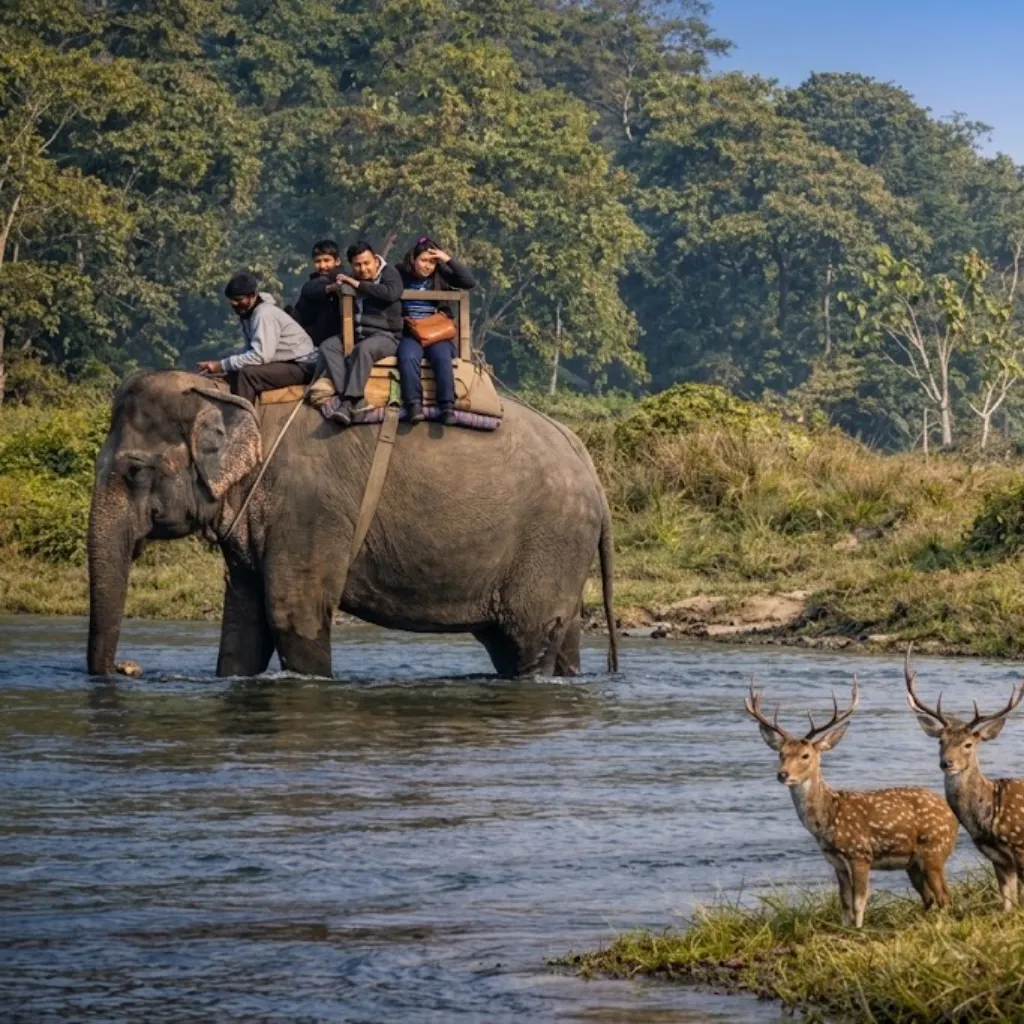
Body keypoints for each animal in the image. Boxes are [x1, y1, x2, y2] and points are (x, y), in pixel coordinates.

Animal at [87, 370, 619, 679]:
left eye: (135, 471)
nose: (128, 667)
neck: (233, 399)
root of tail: (588, 464)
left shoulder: (307, 506)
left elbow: (291, 610)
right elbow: (243, 622)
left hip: (550, 542)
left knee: (527, 638)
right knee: (556, 637)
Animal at [746, 676, 958, 928]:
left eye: (805, 755)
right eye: (781, 753)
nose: (783, 774)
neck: (827, 819)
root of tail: (952, 815)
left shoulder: (860, 853)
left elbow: (859, 902)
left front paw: (859, 930)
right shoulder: (836, 862)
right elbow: (845, 901)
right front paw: (845, 928)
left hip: (934, 850)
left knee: (944, 895)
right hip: (914, 863)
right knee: (930, 898)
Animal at [904, 645, 1024, 910]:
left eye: (968, 744)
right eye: (941, 741)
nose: (946, 763)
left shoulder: (1020, 844)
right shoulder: (998, 858)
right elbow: (1008, 902)